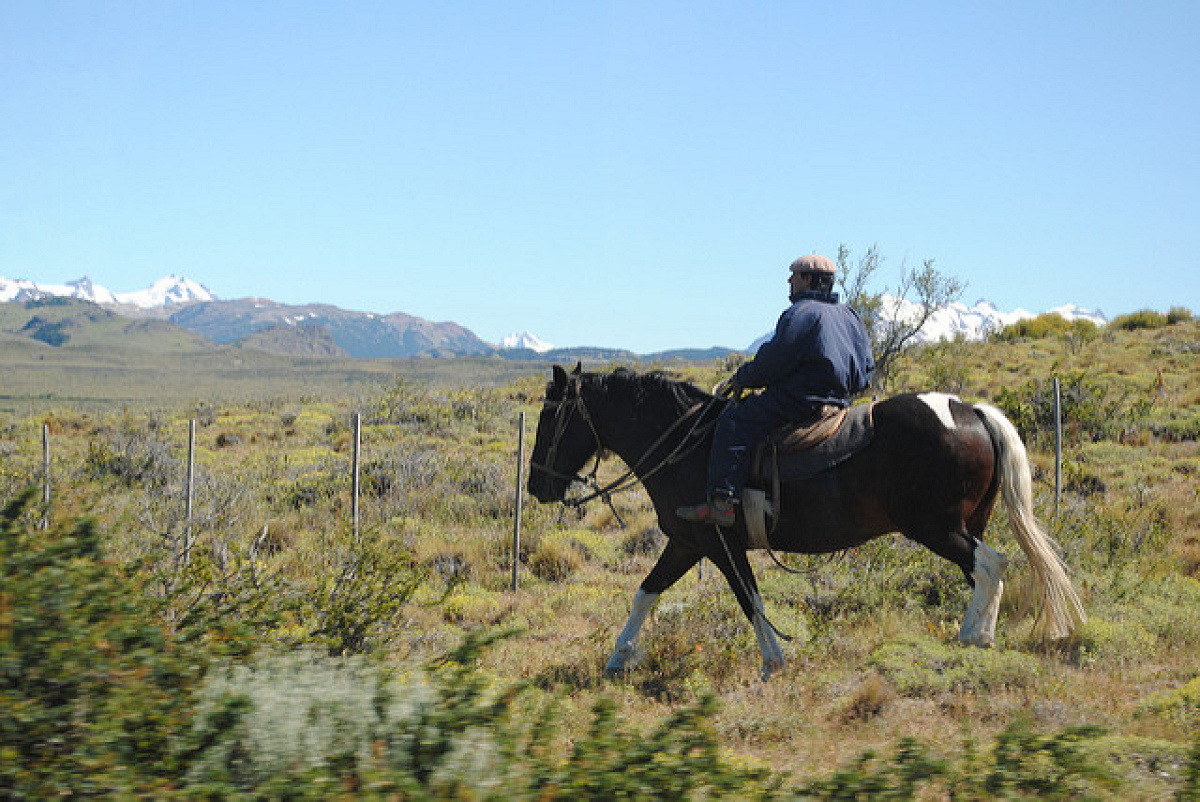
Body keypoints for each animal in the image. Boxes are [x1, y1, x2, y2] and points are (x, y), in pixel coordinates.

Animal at [525, 367, 1089, 681]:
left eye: (551, 416)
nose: (536, 486)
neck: (685, 443)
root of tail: (968, 409)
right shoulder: (687, 542)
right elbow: (646, 592)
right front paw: (619, 657)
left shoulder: (717, 543)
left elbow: (750, 599)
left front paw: (773, 662)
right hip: (966, 523)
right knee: (984, 573)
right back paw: (979, 633)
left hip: (936, 526)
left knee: (991, 565)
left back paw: (973, 637)